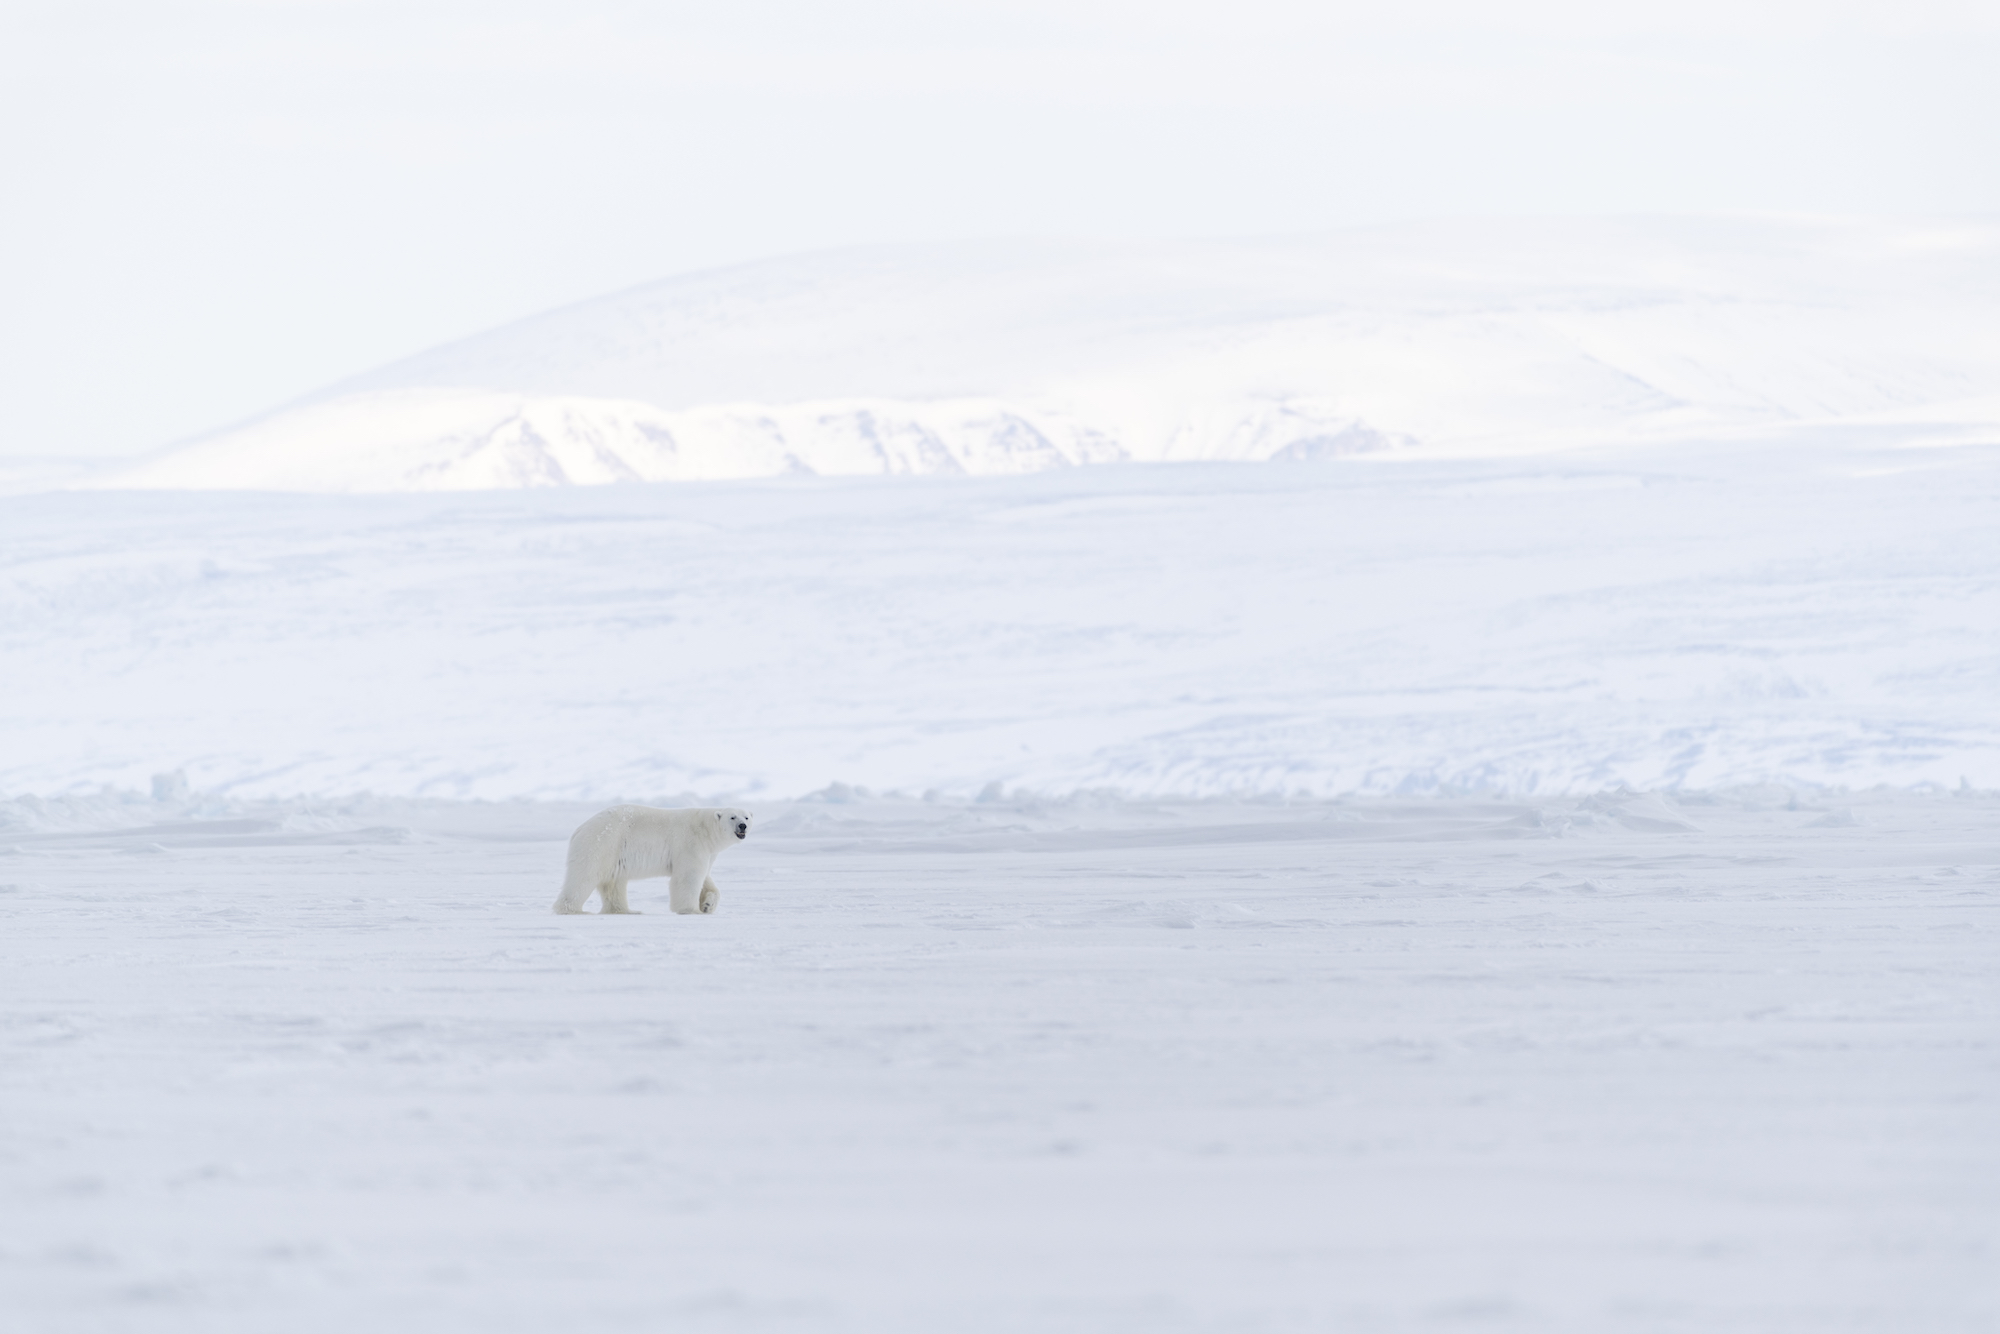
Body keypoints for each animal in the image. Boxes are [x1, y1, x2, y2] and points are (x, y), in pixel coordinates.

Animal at [552, 805, 752, 915]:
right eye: (732, 816)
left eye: (746, 816)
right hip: (602, 843)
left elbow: (706, 879)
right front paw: (691, 910)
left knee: (614, 882)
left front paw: (707, 905)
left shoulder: (707, 852)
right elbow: (688, 877)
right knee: (584, 876)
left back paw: (627, 911)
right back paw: (573, 909)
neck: (705, 828)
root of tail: (580, 828)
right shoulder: (690, 843)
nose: (743, 826)